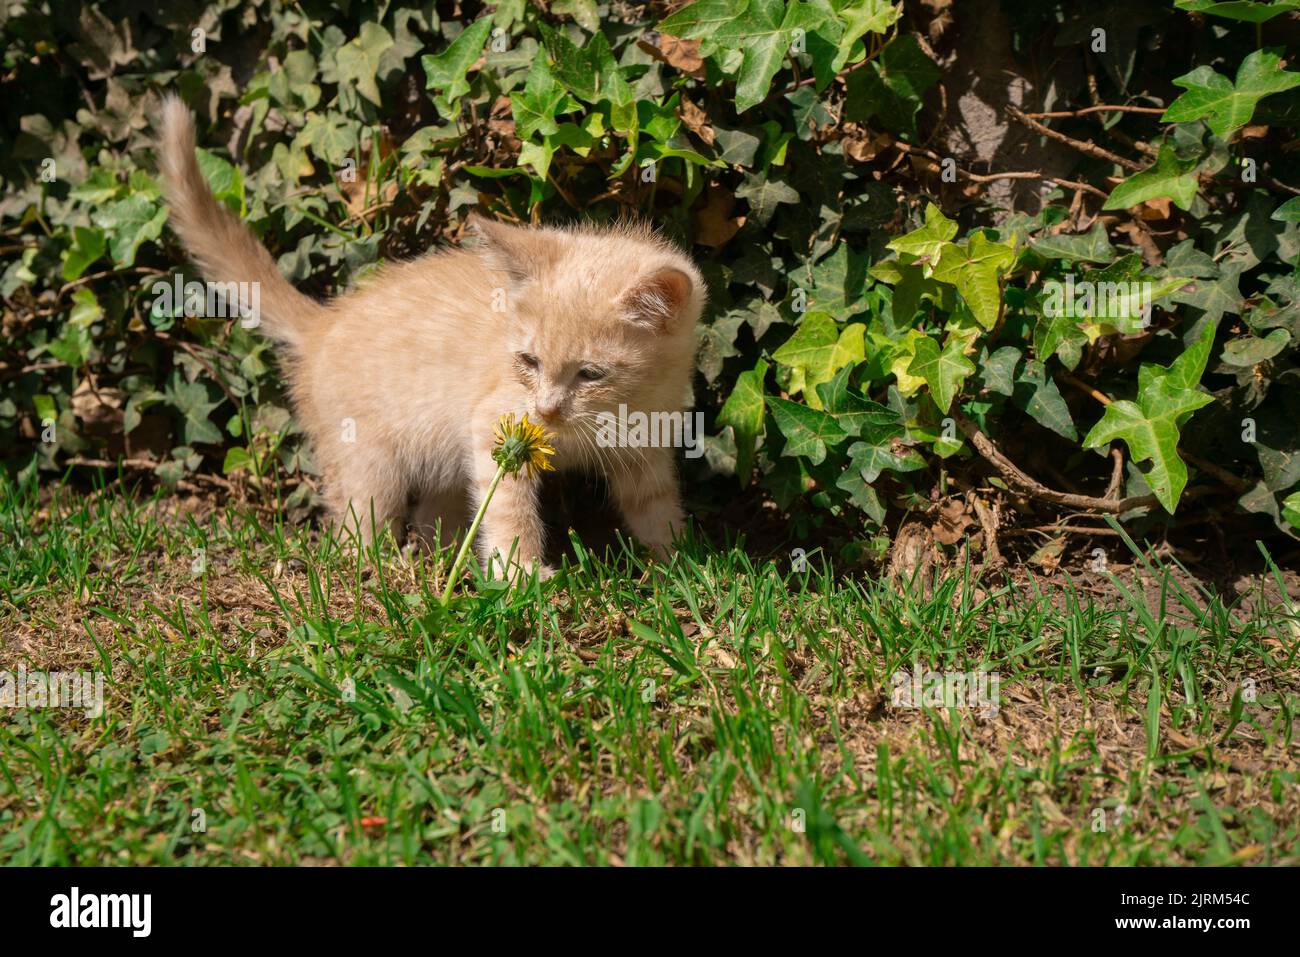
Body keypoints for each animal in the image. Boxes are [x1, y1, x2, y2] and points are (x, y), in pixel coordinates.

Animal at [157, 98, 707, 572]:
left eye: (591, 374)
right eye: (528, 362)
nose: (546, 411)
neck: (617, 412)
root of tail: (323, 323)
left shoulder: (646, 446)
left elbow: (655, 505)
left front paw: (681, 565)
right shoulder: (496, 427)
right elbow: (507, 510)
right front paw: (521, 576)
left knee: (428, 515)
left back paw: (432, 561)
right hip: (367, 457)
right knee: (356, 519)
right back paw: (374, 569)